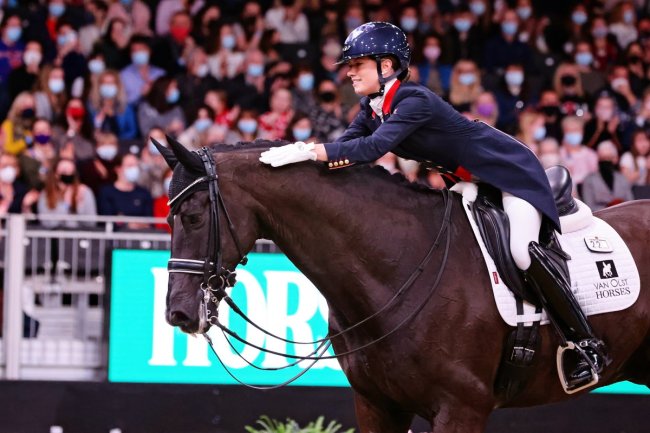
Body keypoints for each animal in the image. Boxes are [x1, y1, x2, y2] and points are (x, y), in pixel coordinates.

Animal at [158, 138, 650, 433]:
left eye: (193, 217)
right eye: (167, 218)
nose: (178, 313)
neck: (401, 265)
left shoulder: (461, 408)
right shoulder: (377, 405)